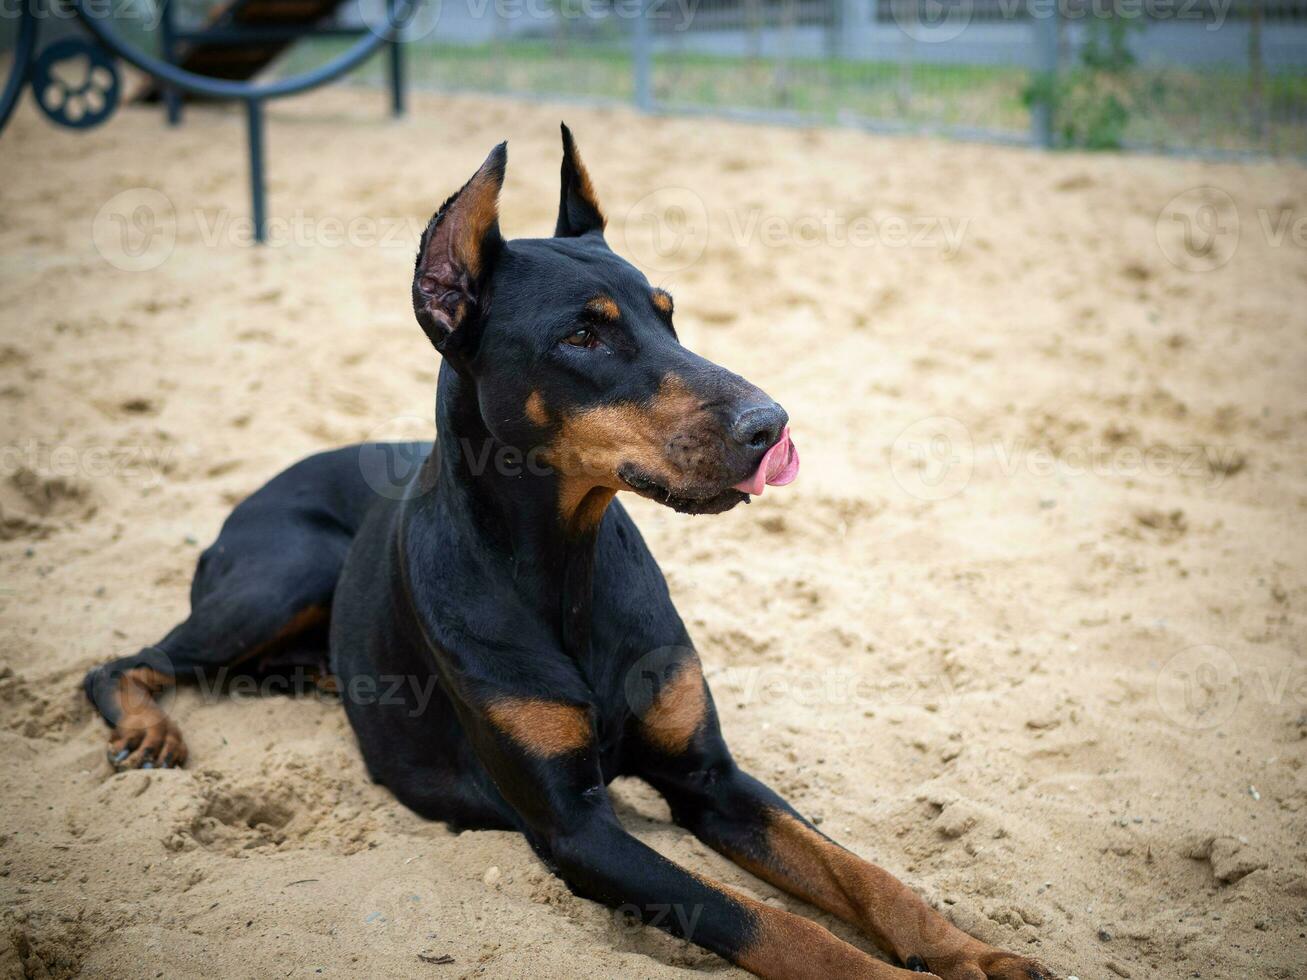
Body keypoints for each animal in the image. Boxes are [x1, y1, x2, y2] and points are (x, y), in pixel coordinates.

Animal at [84, 130, 1050, 980]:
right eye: (581, 337)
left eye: (669, 314)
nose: (770, 425)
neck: (566, 564)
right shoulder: (574, 827)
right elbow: (767, 924)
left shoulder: (709, 776)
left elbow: (862, 873)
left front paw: (977, 953)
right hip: (284, 575)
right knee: (123, 662)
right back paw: (147, 729)